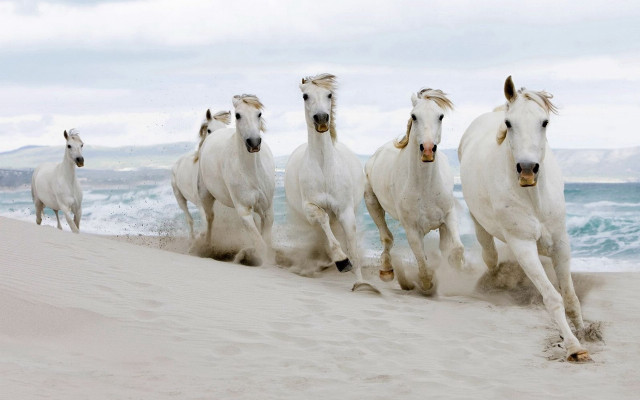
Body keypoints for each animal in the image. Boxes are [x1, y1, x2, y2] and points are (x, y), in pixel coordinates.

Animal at [171, 109, 230, 239]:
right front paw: (203, 236)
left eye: (224, 128)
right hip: (180, 198)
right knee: (189, 219)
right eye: (209, 130)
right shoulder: (201, 202)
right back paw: (193, 239)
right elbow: (207, 220)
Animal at [197, 95, 275, 265]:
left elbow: (265, 241)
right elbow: (261, 244)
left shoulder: (267, 211)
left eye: (259, 114)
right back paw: (206, 247)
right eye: (238, 115)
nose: (254, 143)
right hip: (206, 196)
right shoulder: (244, 211)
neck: (252, 172)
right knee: (209, 219)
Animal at [284, 73, 372, 291]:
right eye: (305, 96)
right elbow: (322, 219)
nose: (322, 118)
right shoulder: (310, 207)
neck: (324, 168)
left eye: (329, 94)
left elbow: (352, 245)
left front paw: (361, 284)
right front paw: (341, 261)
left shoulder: (346, 211)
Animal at [364, 89, 464, 294]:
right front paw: (426, 284)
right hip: (371, 203)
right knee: (386, 237)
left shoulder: (448, 216)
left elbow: (457, 248)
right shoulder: (411, 228)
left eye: (440, 116)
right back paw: (387, 271)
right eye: (414, 116)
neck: (425, 187)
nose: (427, 150)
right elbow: (422, 261)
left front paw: (455, 267)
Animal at [458, 76, 591, 362]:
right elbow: (553, 298)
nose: (528, 170)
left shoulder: (560, 243)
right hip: (481, 226)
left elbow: (570, 296)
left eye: (545, 122)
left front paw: (585, 333)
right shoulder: (523, 245)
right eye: (509, 123)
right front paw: (573, 347)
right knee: (490, 257)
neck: (533, 198)